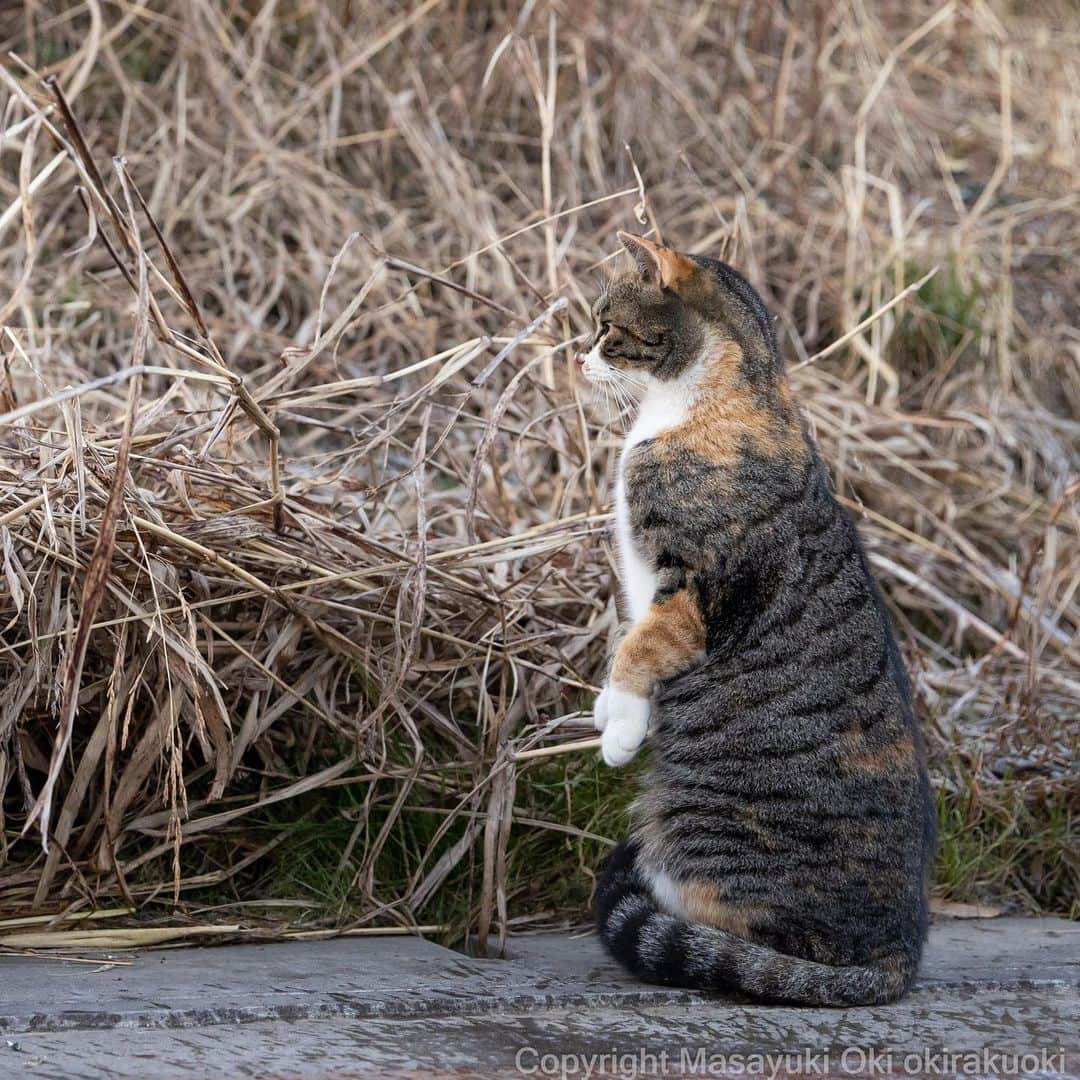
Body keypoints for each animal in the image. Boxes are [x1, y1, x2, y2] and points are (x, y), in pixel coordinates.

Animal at [578, 232, 933, 1006]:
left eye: (606, 324)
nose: (578, 356)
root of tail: (899, 954)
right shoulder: (642, 588)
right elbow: (627, 638)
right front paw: (606, 709)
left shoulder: (688, 587)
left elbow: (640, 650)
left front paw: (618, 730)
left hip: (700, 833)